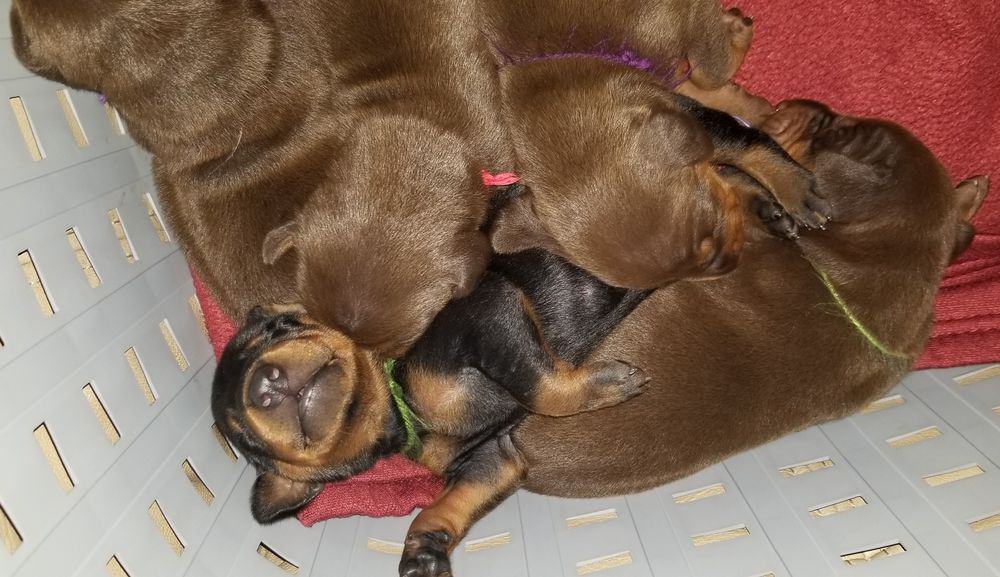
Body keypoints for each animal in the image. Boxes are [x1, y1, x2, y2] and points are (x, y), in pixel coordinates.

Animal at [209, 109, 804, 576]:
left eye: (279, 328)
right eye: (245, 438)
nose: (265, 383)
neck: (402, 404)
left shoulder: (488, 315)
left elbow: (542, 387)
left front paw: (608, 383)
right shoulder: (491, 460)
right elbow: (442, 507)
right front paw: (421, 552)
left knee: (730, 154)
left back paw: (787, 191)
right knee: (723, 177)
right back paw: (767, 209)